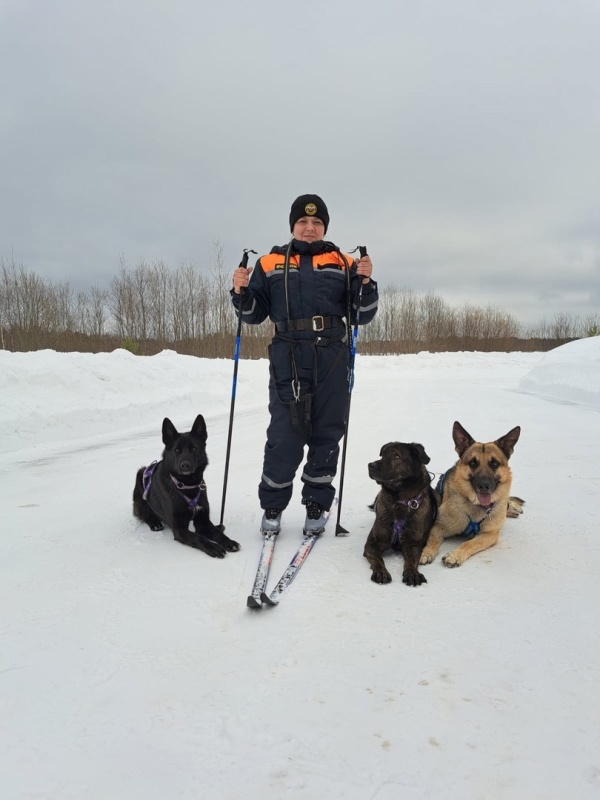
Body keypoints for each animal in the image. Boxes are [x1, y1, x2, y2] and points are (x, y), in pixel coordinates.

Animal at [132, 416, 240, 560]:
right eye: (177, 450)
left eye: (194, 448)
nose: (185, 465)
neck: (186, 485)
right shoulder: (180, 529)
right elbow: (198, 538)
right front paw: (213, 547)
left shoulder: (203, 521)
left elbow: (217, 532)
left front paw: (228, 542)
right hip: (140, 480)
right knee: (144, 513)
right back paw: (154, 523)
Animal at [364, 440, 438, 584]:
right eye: (382, 455)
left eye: (396, 456)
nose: (370, 465)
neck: (399, 501)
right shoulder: (372, 543)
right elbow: (378, 560)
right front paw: (381, 572)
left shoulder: (413, 544)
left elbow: (411, 560)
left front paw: (412, 573)